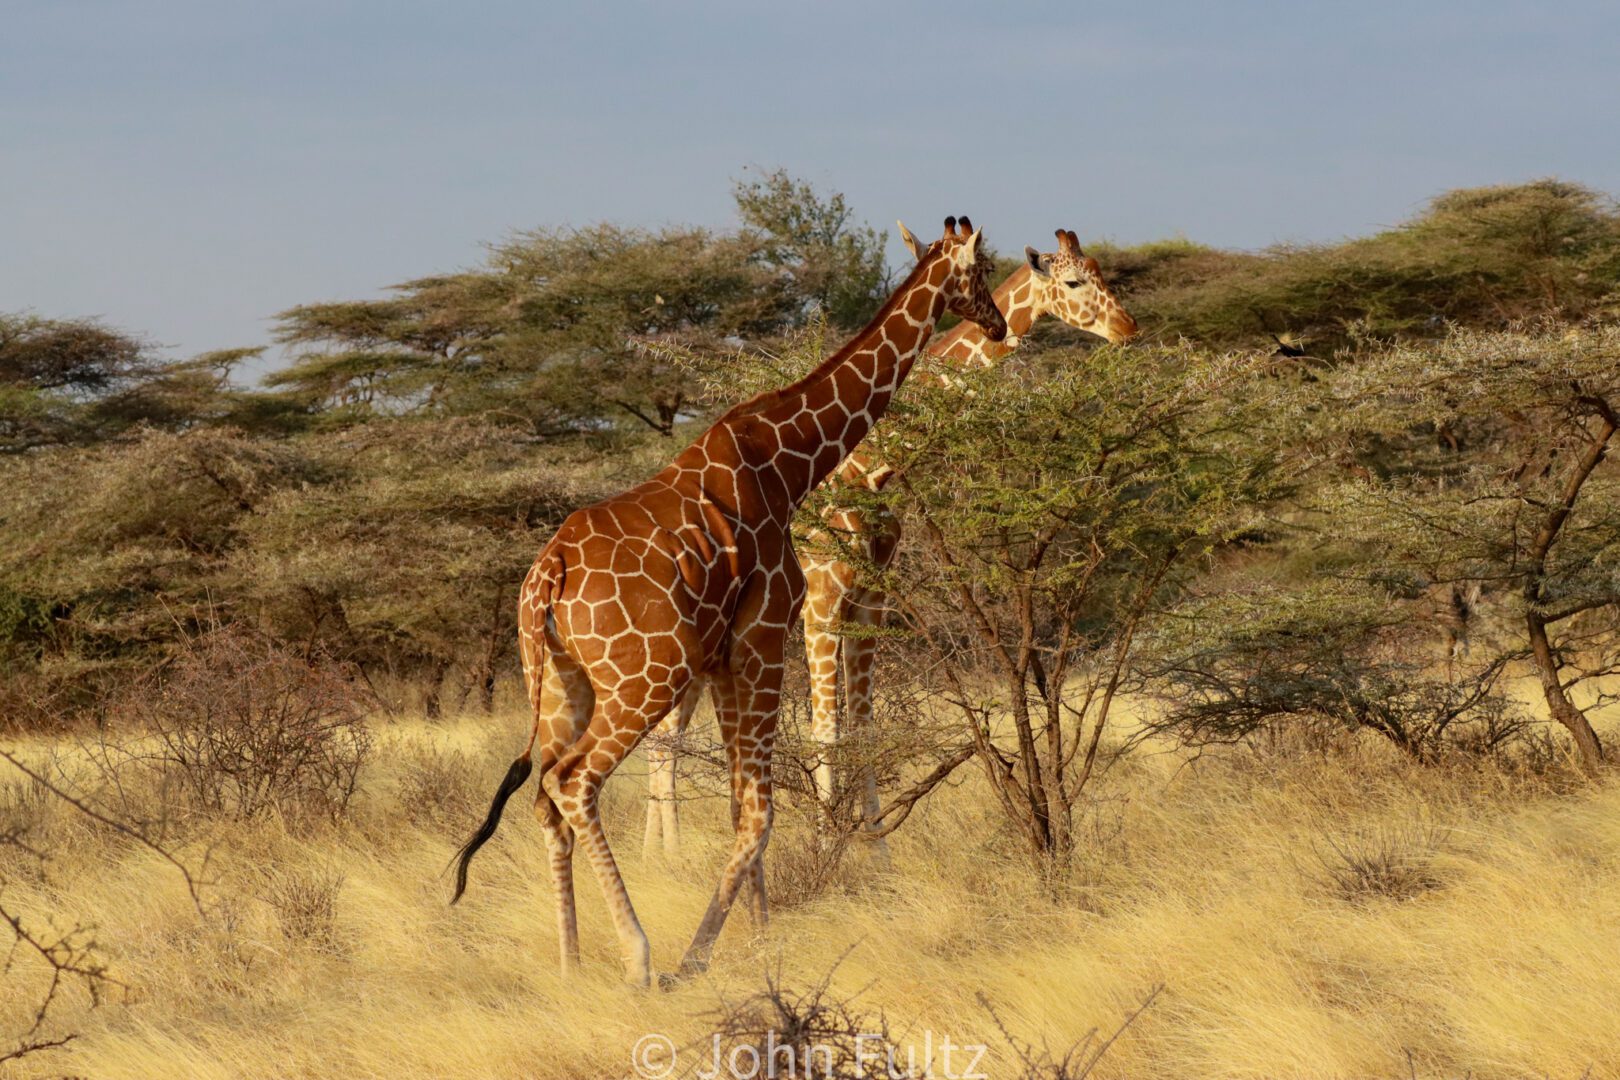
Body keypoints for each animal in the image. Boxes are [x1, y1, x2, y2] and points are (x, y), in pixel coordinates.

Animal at [456, 215, 1004, 984]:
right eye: (980, 269)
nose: (998, 321)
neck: (788, 464)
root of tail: (549, 577)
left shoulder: (723, 656)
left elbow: (743, 805)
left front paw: (760, 940)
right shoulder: (765, 633)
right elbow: (761, 809)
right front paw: (703, 954)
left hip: (559, 682)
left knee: (542, 797)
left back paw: (569, 963)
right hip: (644, 677)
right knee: (574, 781)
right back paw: (638, 956)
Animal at [638, 229, 1134, 861]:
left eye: (1100, 271)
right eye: (1073, 281)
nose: (1128, 328)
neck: (866, 471)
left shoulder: (869, 604)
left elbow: (864, 726)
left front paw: (876, 852)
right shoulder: (821, 605)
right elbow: (825, 729)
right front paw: (826, 848)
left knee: (667, 732)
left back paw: (658, 851)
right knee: (662, 735)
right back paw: (669, 854)